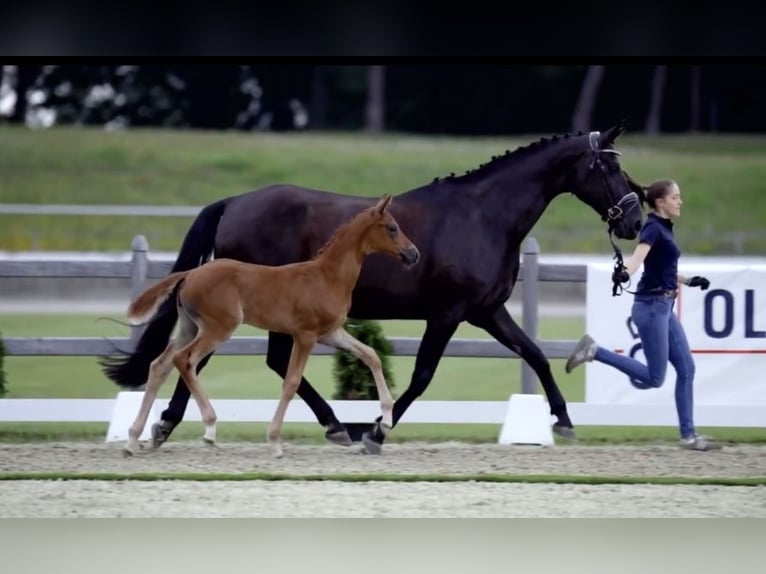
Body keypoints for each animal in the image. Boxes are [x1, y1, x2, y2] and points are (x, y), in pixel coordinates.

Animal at [121, 197, 420, 460]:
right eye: (392, 227)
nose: (413, 254)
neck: (326, 277)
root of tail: (191, 274)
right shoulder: (305, 335)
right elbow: (292, 382)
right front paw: (275, 442)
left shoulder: (330, 333)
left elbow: (371, 355)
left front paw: (385, 420)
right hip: (217, 329)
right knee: (185, 360)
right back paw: (209, 428)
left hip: (189, 328)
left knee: (159, 365)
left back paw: (133, 440)